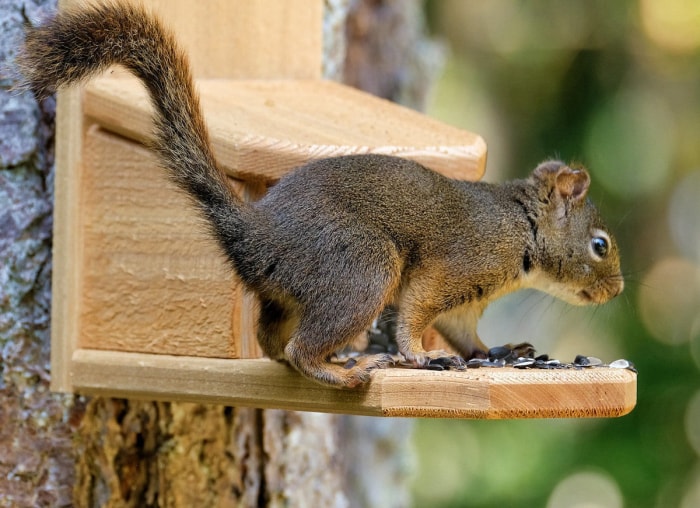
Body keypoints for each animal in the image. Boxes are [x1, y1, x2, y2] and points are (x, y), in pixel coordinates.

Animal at [19, 2, 624, 388]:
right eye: (600, 245)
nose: (617, 291)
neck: (521, 229)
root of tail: (259, 234)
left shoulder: (466, 303)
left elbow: (463, 334)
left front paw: (494, 353)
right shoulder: (455, 264)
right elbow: (417, 314)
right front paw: (417, 356)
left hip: (295, 293)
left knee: (272, 344)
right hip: (362, 266)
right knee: (298, 349)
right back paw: (348, 370)